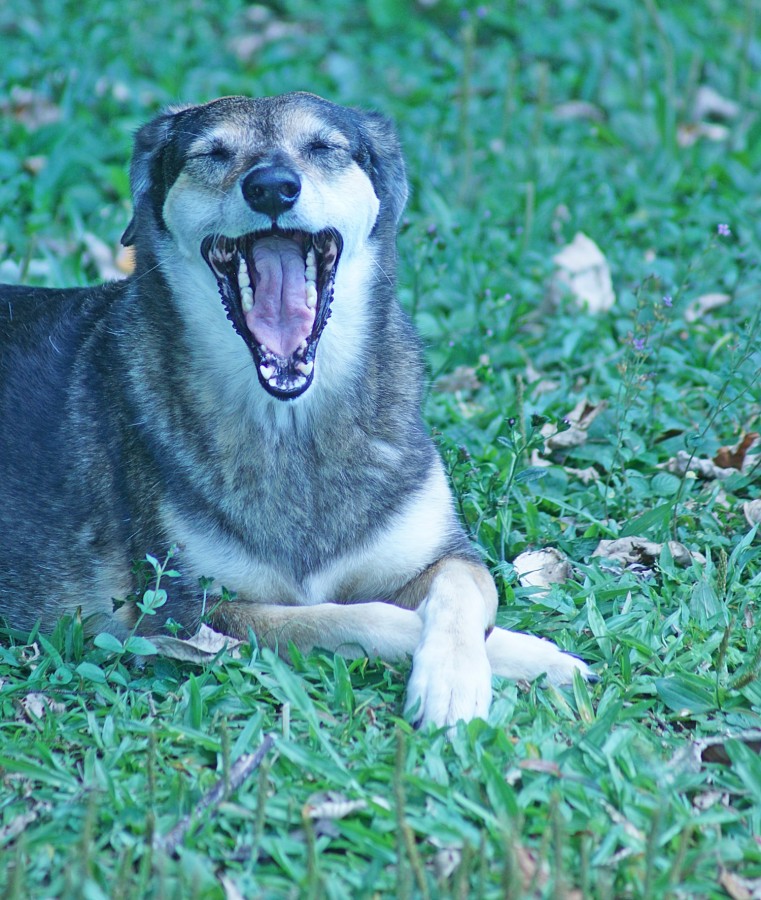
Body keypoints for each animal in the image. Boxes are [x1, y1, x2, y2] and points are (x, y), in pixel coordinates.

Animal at [0, 93, 588, 724]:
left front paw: (464, 674)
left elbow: (466, 589)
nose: (272, 188)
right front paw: (523, 657)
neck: (292, 423)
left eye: (323, 147)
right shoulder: (185, 611)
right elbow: (355, 616)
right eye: (213, 153)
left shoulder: (440, 552)